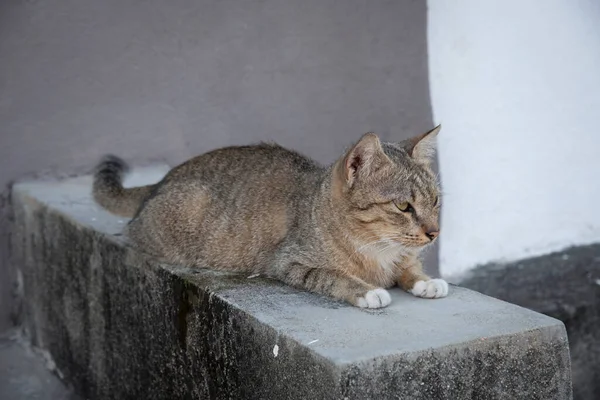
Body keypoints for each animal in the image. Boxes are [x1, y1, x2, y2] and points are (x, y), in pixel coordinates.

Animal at [94, 126, 448, 308]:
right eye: (403, 206)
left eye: (435, 200)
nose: (435, 233)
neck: (377, 250)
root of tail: (163, 180)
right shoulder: (289, 262)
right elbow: (334, 276)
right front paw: (367, 290)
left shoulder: (403, 257)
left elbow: (410, 268)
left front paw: (425, 281)